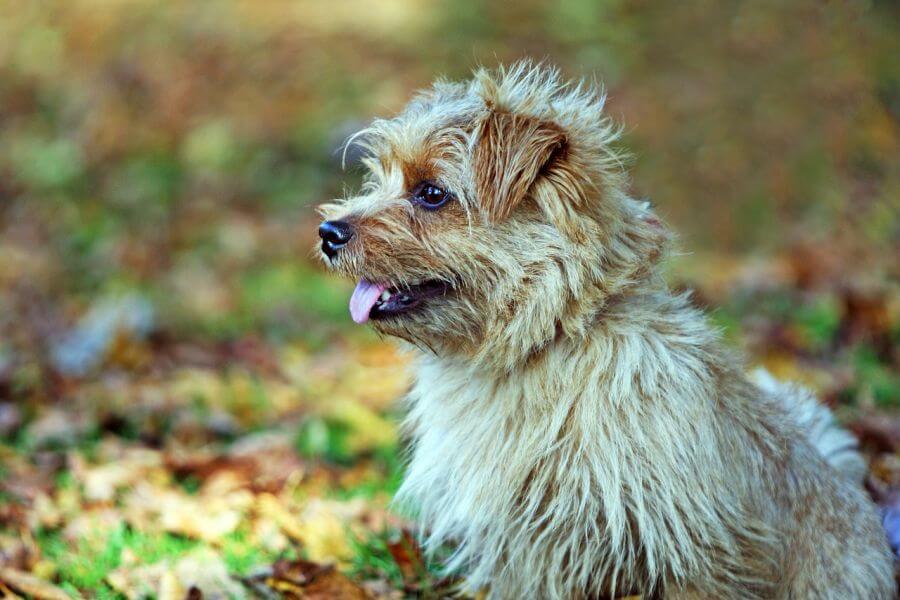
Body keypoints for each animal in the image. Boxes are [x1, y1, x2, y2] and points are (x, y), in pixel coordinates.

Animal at [316, 63, 892, 596]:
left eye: (432, 193)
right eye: (381, 179)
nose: (327, 231)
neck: (545, 345)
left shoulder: (700, 549)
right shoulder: (525, 554)